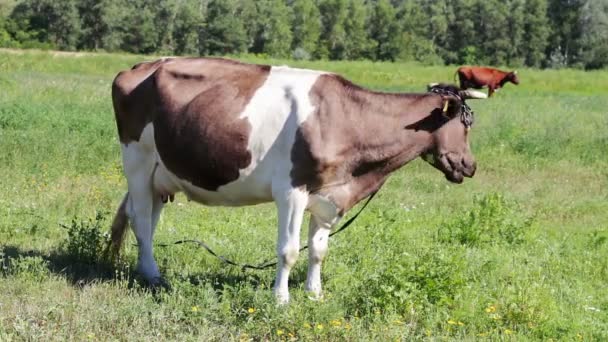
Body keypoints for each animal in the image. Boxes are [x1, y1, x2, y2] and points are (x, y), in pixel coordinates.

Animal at [109, 56, 486, 304]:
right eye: (465, 125)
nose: (469, 166)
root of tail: (139, 67)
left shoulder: (329, 195)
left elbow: (319, 250)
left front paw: (314, 293)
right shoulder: (292, 191)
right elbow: (288, 250)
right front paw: (281, 299)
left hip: (162, 175)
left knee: (149, 218)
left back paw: (145, 269)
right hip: (137, 160)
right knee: (140, 219)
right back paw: (153, 276)